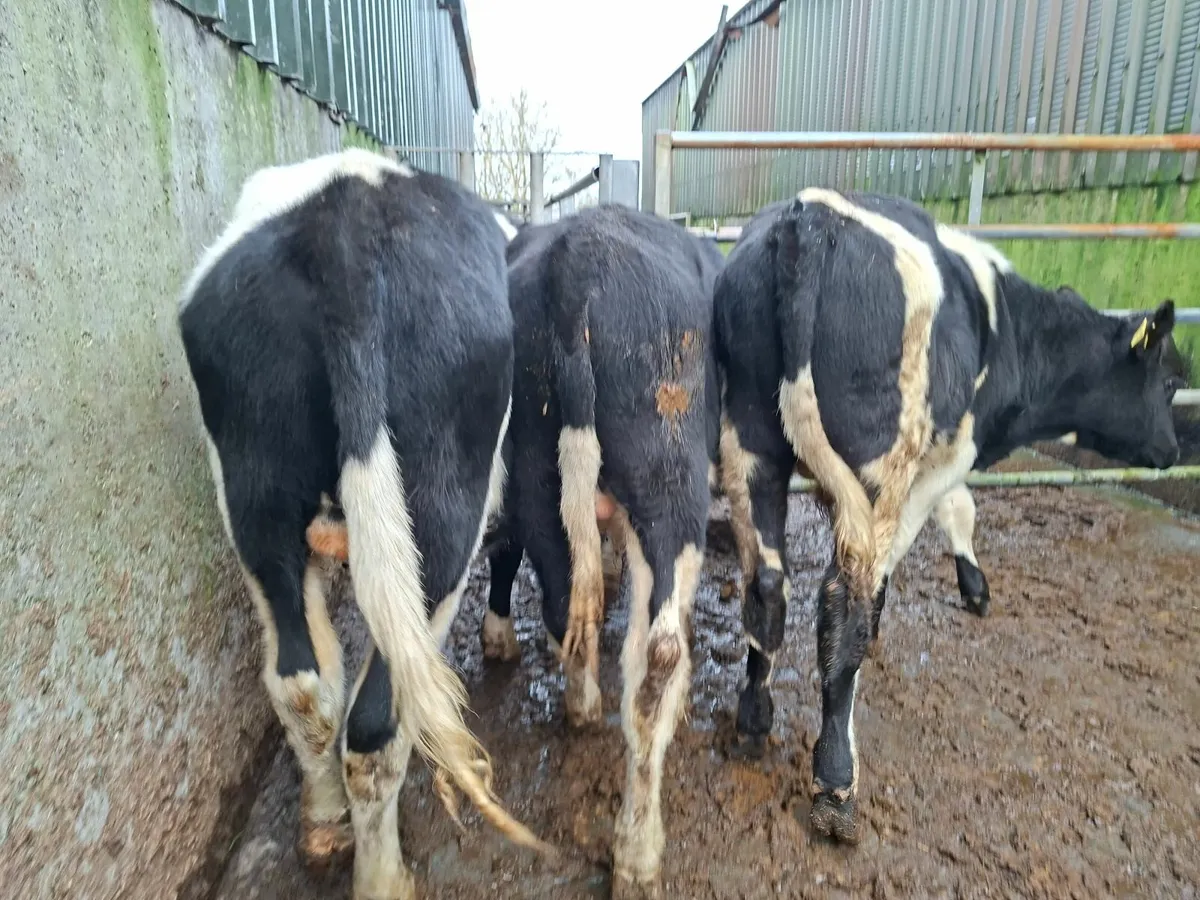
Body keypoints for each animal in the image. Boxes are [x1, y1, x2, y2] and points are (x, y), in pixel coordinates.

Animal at [177, 148, 549, 900]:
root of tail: (342, 222)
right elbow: (509, 548)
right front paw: (500, 639)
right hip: (439, 508)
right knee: (379, 722)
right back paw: (384, 876)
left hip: (254, 487)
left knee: (303, 683)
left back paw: (323, 828)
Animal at [482, 205, 725, 896]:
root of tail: (574, 262)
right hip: (672, 479)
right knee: (660, 659)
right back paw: (638, 851)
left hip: (534, 474)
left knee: (561, 599)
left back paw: (581, 706)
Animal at [713, 189, 1180, 844]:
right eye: (1171, 382)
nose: (1173, 450)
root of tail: (810, 216)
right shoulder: (949, 452)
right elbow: (955, 512)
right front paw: (973, 589)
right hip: (876, 461)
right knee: (842, 597)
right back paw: (836, 784)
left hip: (751, 436)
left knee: (767, 583)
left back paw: (754, 721)